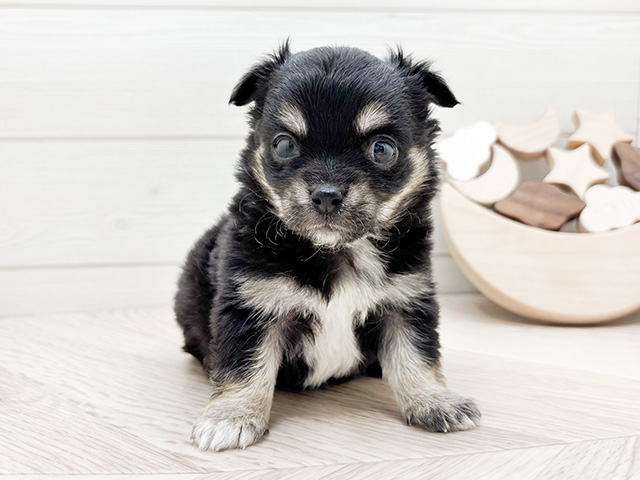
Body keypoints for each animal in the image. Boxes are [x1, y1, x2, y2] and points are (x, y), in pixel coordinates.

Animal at [175, 43, 480, 452]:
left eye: (382, 150)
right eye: (284, 145)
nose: (326, 195)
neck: (337, 250)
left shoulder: (406, 299)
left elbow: (416, 355)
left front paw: (435, 401)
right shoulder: (251, 305)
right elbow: (244, 365)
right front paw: (231, 416)